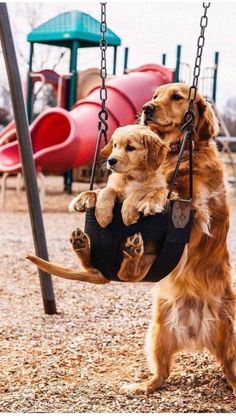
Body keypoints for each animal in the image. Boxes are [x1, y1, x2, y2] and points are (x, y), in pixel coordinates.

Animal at [27, 123, 168, 284]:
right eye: (114, 146)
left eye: (130, 147)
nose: (110, 161)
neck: (130, 177)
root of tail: (104, 275)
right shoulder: (113, 187)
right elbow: (106, 190)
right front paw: (101, 213)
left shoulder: (159, 190)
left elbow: (143, 190)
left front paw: (129, 212)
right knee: (92, 264)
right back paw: (80, 244)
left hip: (150, 259)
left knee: (127, 274)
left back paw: (132, 252)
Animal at [121, 84, 236, 398]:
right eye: (155, 95)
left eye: (177, 96)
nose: (146, 108)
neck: (180, 153)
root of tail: (196, 328)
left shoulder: (203, 204)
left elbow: (178, 196)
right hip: (158, 332)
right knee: (161, 374)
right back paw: (141, 386)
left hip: (232, 334)